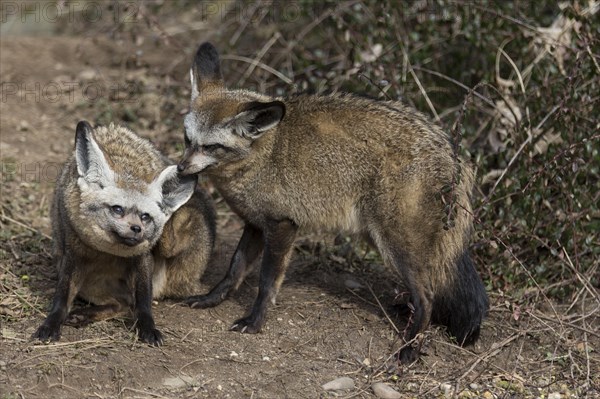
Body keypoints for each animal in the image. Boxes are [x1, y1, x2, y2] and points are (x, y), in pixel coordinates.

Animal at [33, 122, 216, 346]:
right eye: (118, 209)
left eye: (145, 217)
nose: (137, 229)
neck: (110, 252)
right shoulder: (72, 253)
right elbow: (61, 299)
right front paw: (50, 324)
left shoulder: (143, 259)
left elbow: (144, 302)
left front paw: (147, 327)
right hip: (88, 283)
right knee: (122, 304)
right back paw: (85, 315)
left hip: (177, 234)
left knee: (129, 303)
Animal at [178, 43, 488, 362]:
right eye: (188, 140)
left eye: (211, 147)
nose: (181, 169)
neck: (262, 154)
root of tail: (453, 152)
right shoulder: (255, 222)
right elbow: (234, 270)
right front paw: (211, 298)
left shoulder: (283, 225)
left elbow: (266, 284)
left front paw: (255, 321)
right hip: (385, 239)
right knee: (432, 290)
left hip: (395, 245)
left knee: (427, 295)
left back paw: (411, 346)